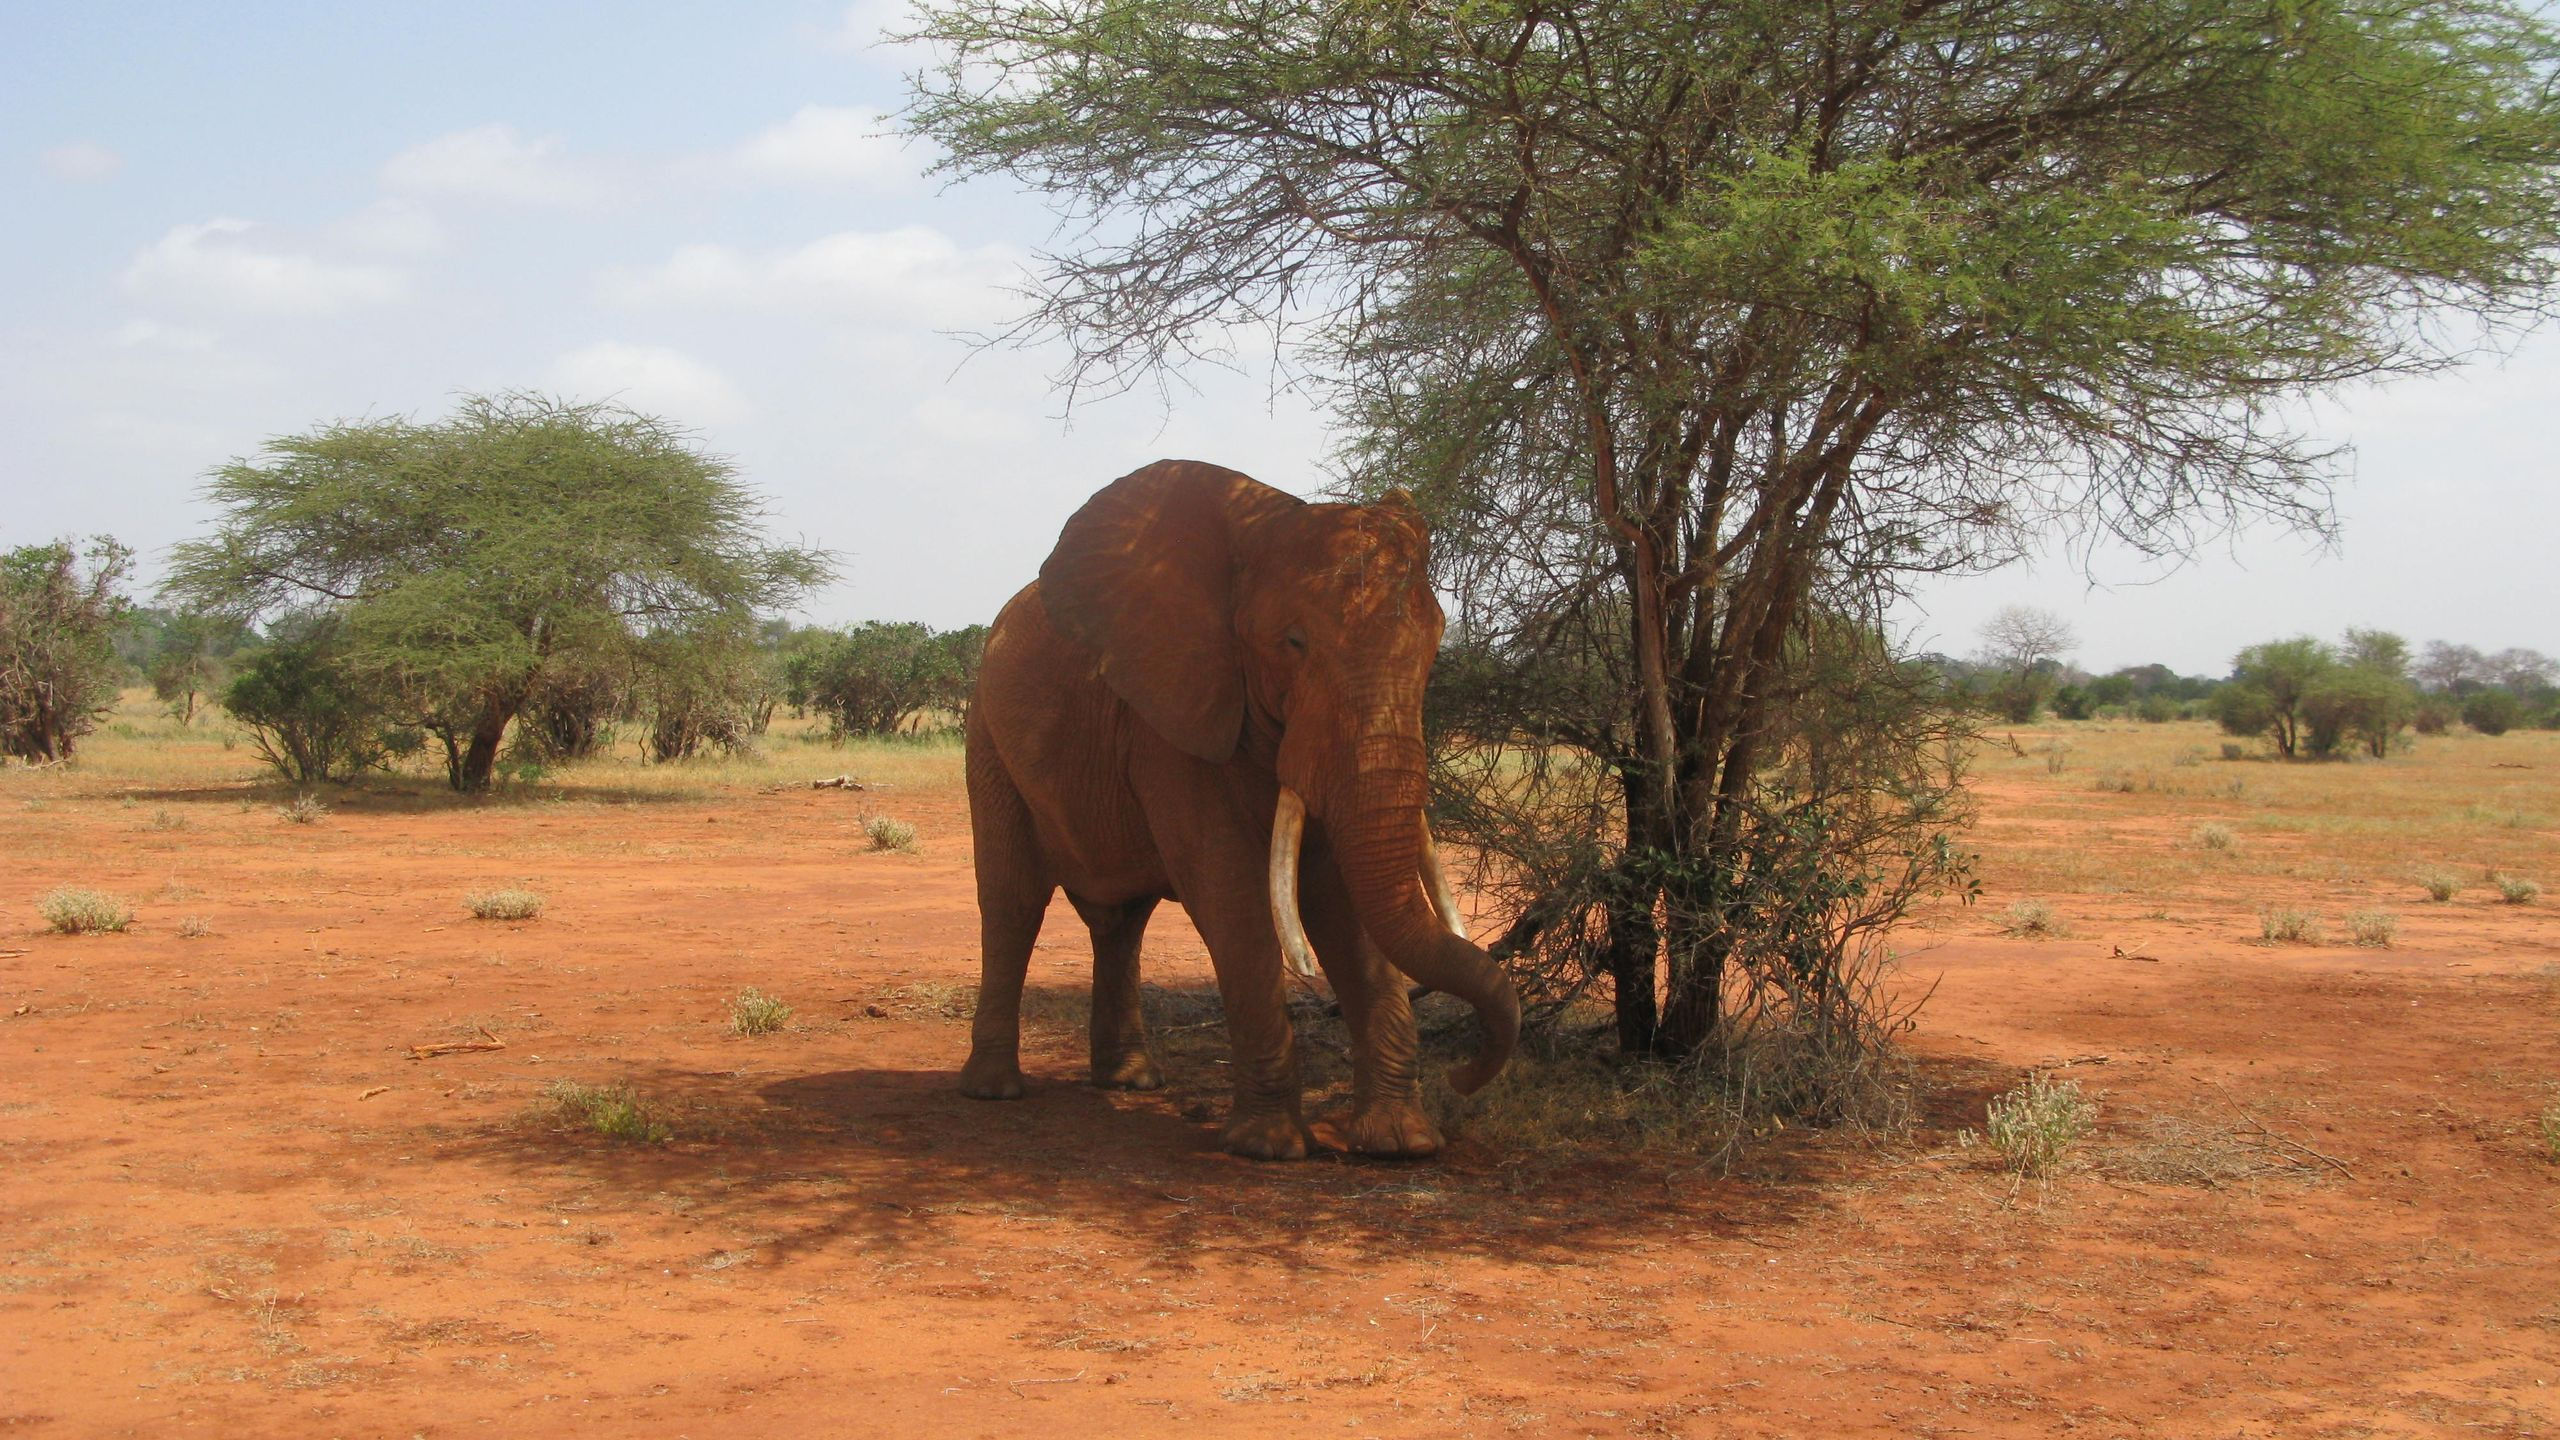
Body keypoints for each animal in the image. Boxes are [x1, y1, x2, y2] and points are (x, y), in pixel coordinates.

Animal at [959, 459, 1521, 1159]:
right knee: (1013, 902)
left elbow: (1345, 902)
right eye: (1293, 642)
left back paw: (1131, 1082)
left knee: (1123, 922)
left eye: (1435, 645)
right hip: (988, 737)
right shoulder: (1171, 718)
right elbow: (1231, 892)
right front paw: (1268, 1147)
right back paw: (993, 1090)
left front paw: (1401, 1142)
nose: (1463, 1075)